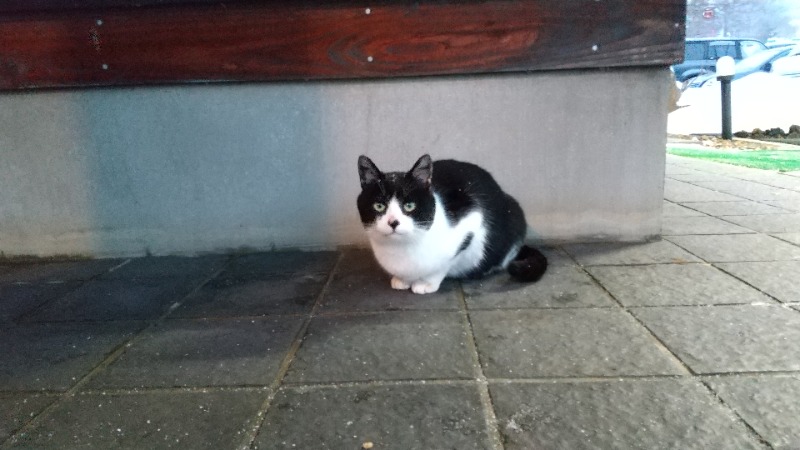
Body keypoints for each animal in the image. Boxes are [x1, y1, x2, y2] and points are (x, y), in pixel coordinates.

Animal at [358, 154, 552, 296]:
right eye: (379, 206)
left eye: (409, 206)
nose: (393, 222)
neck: (402, 249)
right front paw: (402, 280)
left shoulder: (471, 220)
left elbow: (444, 264)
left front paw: (426, 283)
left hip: (515, 212)